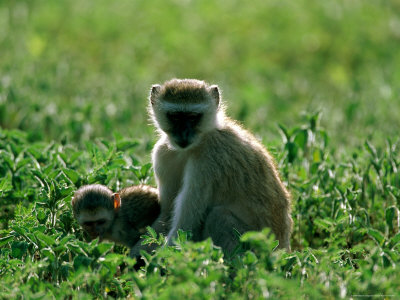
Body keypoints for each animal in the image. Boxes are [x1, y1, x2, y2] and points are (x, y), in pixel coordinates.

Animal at [133, 78, 292, 255]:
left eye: (193, 117)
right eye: (175, 117)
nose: (183, 134)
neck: (197, 143)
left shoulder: (209, 160)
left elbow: (186, 227)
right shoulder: (162, 154)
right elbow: (166, 215)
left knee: (218, 216)